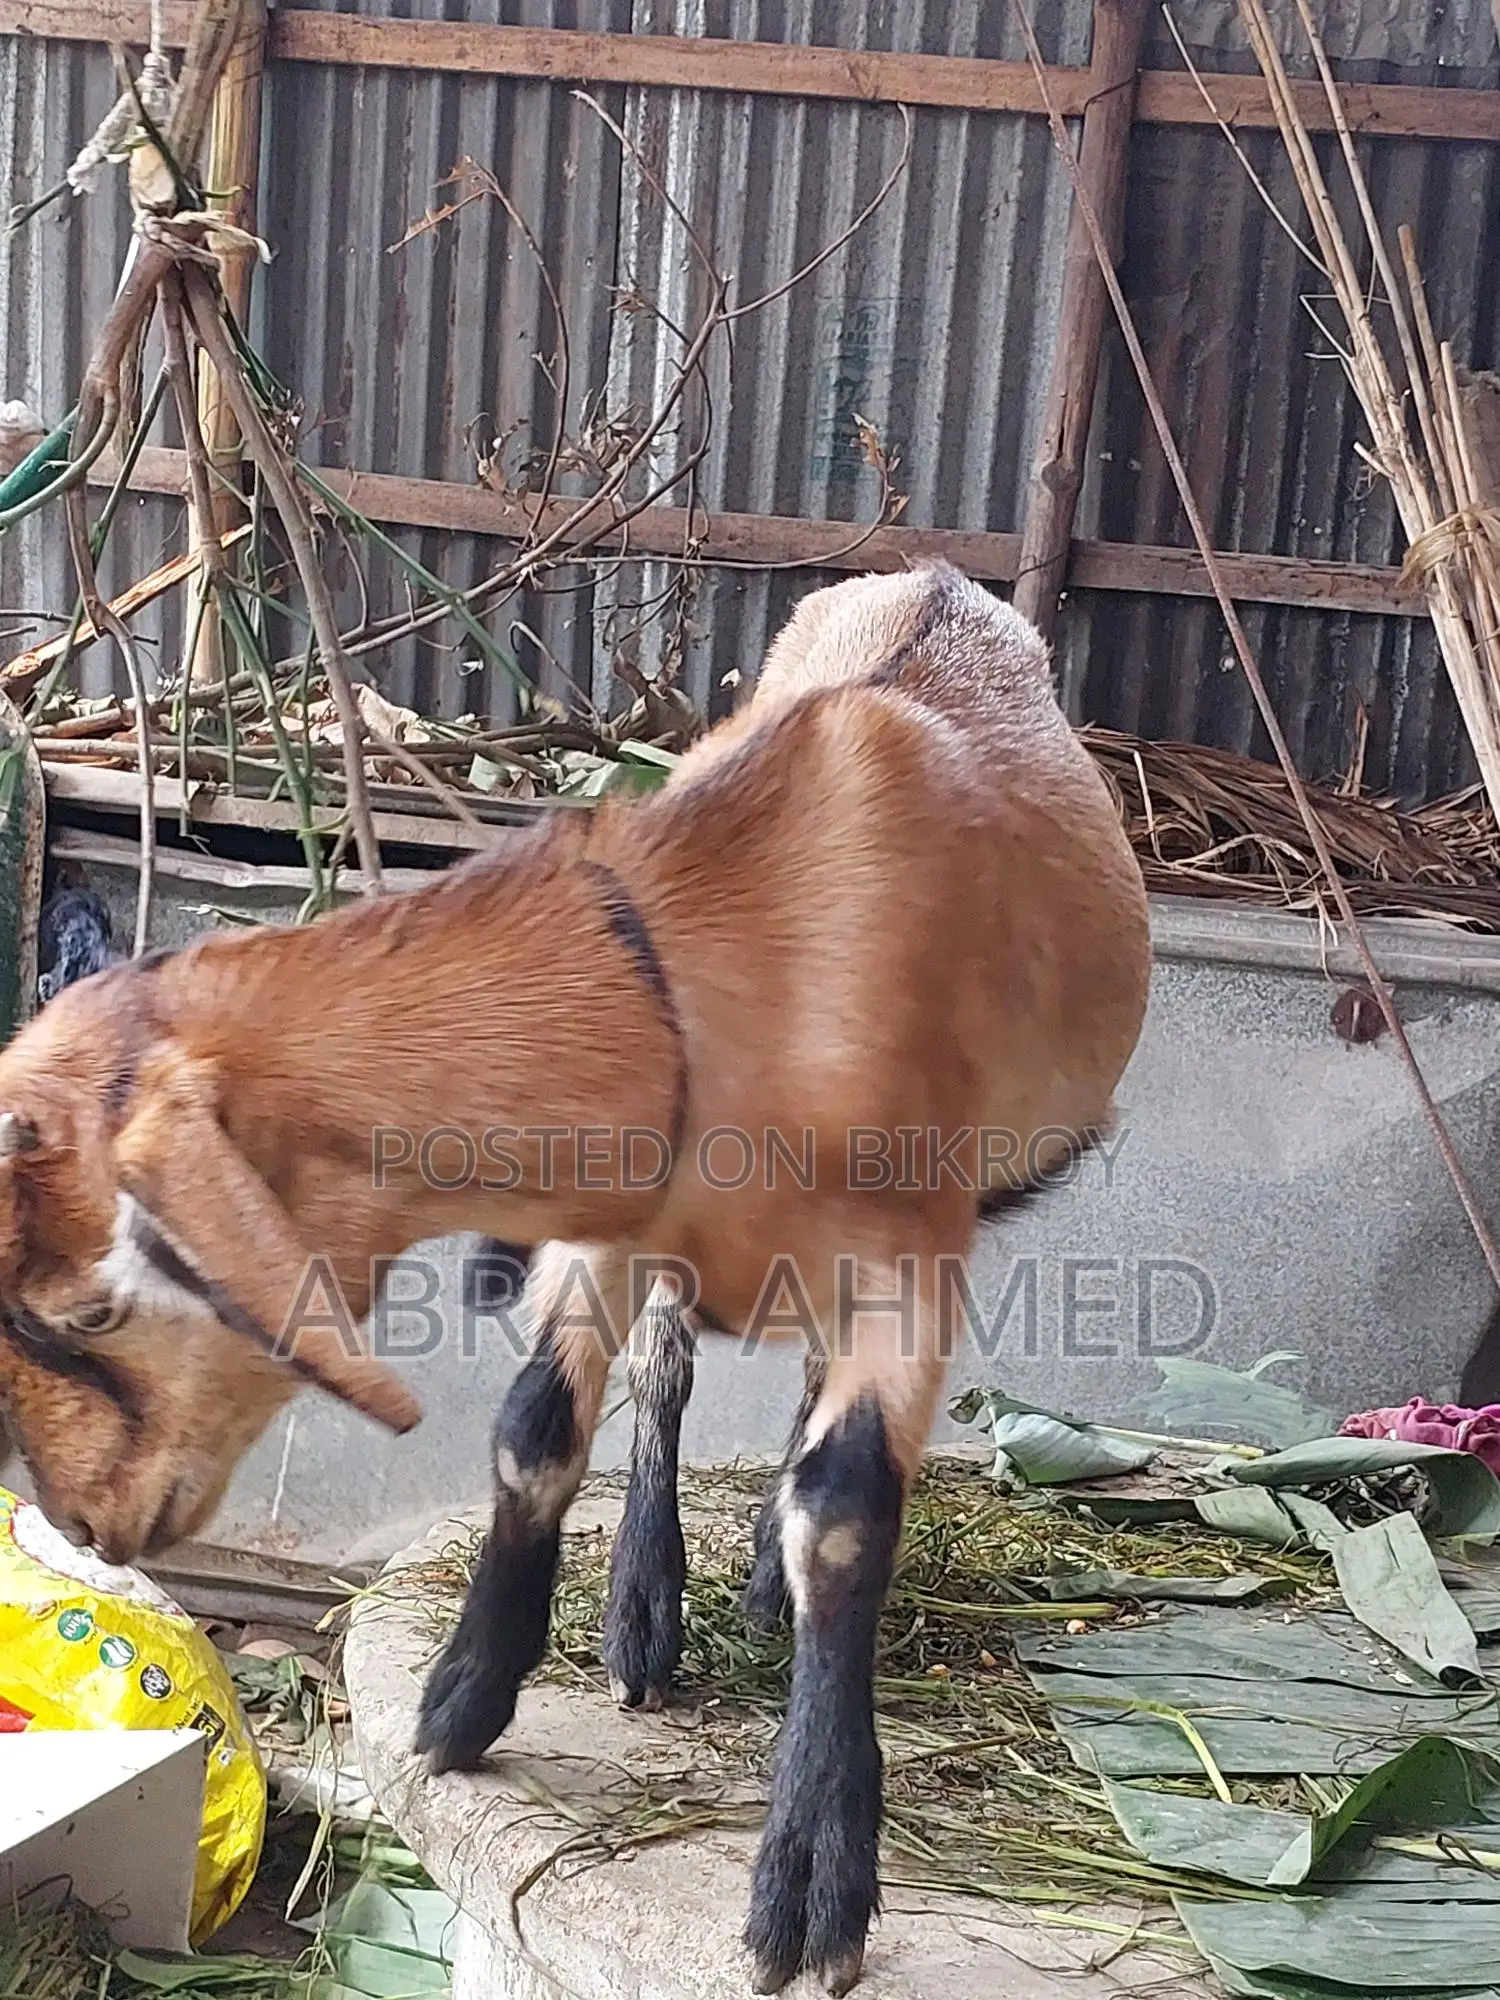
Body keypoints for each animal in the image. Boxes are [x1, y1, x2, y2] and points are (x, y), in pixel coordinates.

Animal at [0, 564, 1150, 1993]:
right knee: (668, 1373)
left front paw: (813, 1879)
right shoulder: (605, 1230)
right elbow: (538, 1427)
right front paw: (463, 1700)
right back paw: (647, 1614)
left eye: (88, 1307)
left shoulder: (910, 1258)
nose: (81, 1522)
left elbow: (843, 1509)